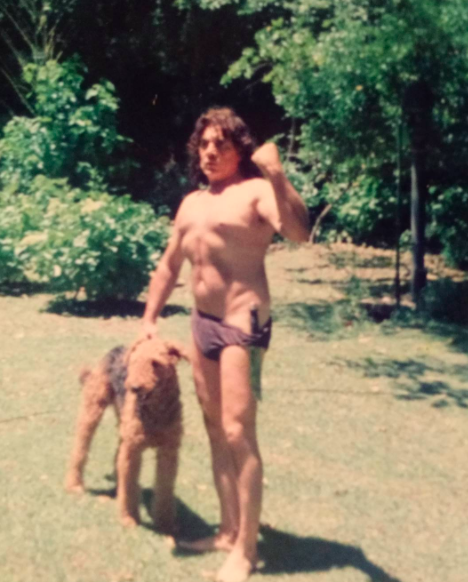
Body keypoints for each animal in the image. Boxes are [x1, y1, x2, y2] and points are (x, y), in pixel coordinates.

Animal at [65, 336, 188, 533]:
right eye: (134, 362)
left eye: (156, 363)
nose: (134, 387)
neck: (155, 411)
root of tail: (117, 348)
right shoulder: (133, 449)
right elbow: (129, 484)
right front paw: (129, 518)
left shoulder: (168, 450)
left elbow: (165, 486)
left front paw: (165, 522)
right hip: (93, 408)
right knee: (81, 446)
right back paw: (74, 485)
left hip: (122, 423)